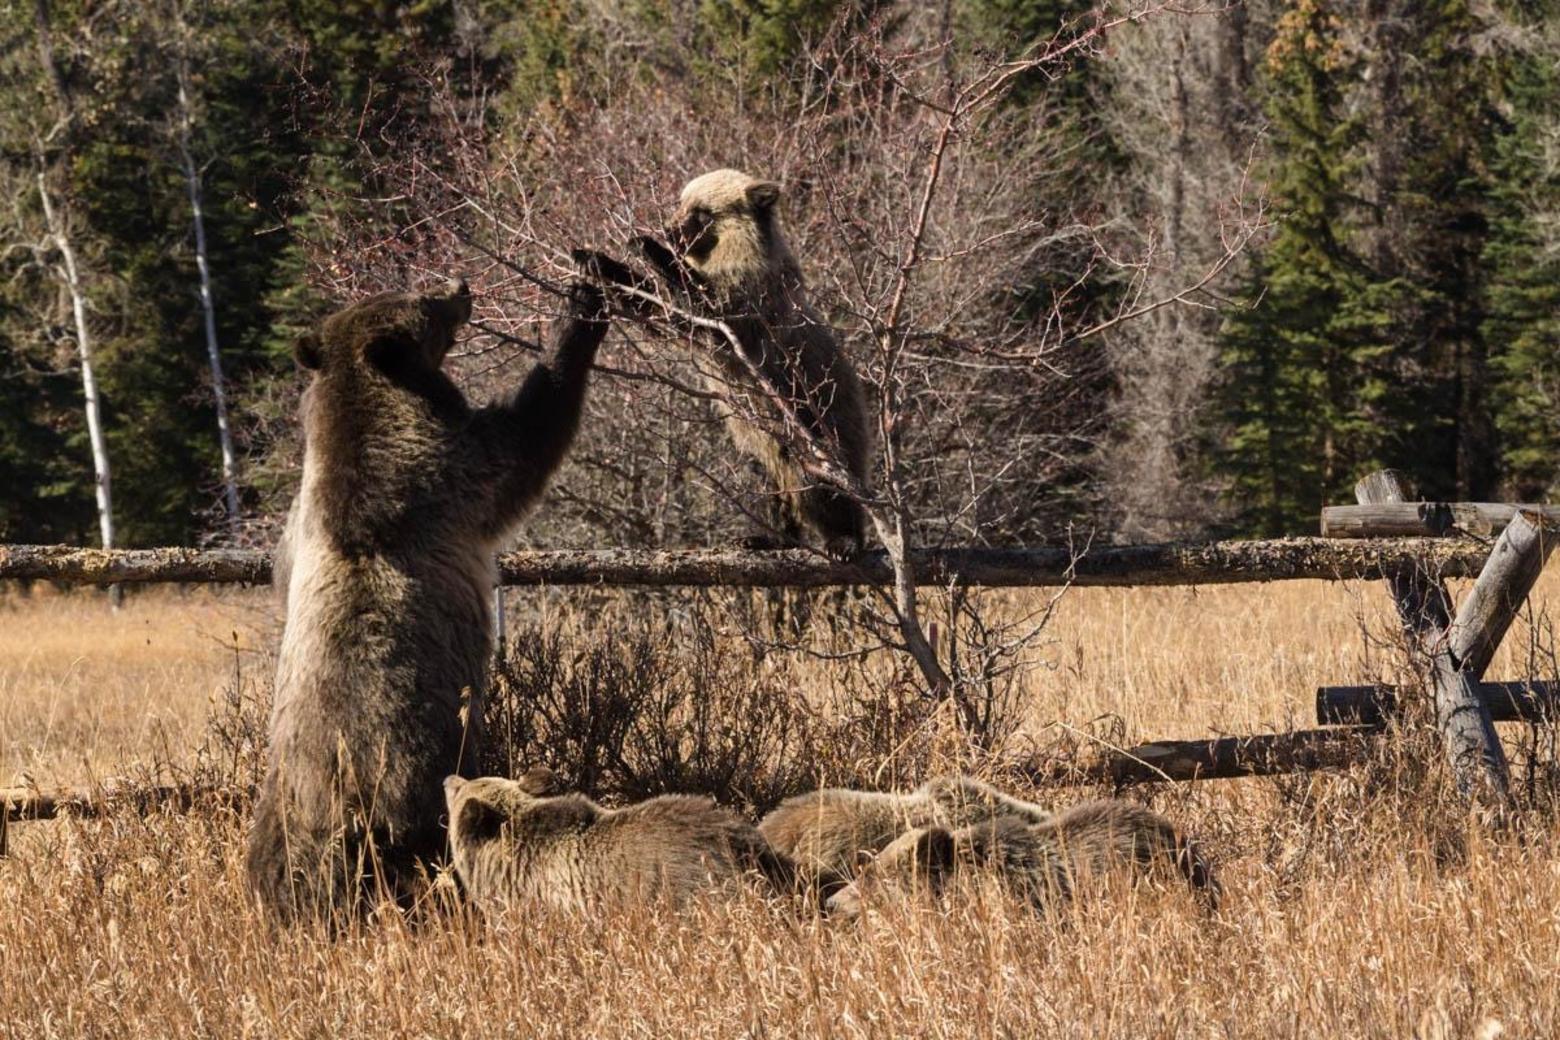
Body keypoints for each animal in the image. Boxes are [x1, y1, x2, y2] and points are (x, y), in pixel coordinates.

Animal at [246, 274, 605, 916]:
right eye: (426, 304)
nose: (459, 287)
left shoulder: (298, 530)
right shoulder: (445, 473)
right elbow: (523, 440)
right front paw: (580, 314)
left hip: (280, 809)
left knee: (272, 863)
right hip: (414, 776)